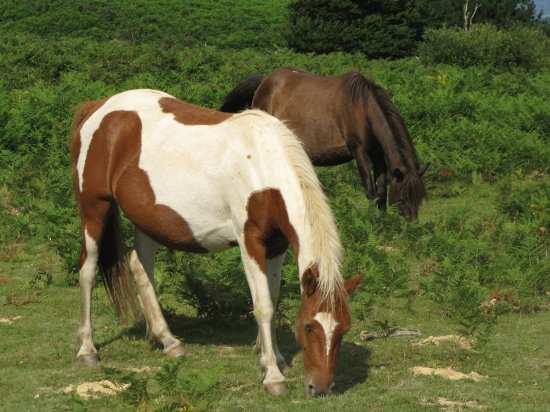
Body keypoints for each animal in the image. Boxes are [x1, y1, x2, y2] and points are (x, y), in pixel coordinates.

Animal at [71, 88, 364, 398]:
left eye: (343, 329)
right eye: (308, 326)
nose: (319, 388)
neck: (262, 167)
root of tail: (98, 107)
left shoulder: (276, 246)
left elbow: (272, 298)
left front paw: (273, 357)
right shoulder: (250, 242)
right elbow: (263, 305)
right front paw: (273, 376)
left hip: (147, 219)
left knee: (140, 267)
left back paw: (167, 340)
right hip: (94, 209)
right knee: (87, 271)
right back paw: (87, 349)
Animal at [222, 68, 430, 222]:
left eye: (419, 197)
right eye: (402, 197)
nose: (411, 222)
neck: (363, 108)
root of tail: (264, 81)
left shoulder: (378, 154)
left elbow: (381, 191)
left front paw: (382, 221)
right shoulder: (360, 152)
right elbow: (370, 192)